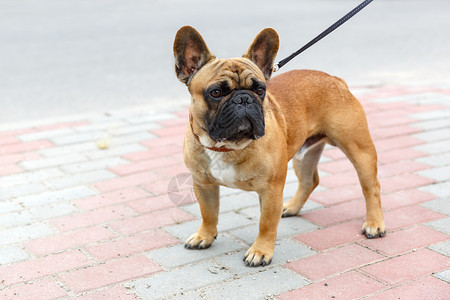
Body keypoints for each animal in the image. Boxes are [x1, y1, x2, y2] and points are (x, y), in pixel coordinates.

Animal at [172, 25, 384, 264]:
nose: (244, 98)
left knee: (371, 187)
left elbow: (266, 223)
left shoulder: (271, 190)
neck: (227, 147)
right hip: (304, 154)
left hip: (359, 149)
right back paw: (291, 207)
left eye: (260, 90)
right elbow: (208, 213)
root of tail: (335, 79)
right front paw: (204, 236)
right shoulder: (203, 184)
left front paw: (260, 251)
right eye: (216, 92)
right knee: (310, 181)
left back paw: (374, 224)